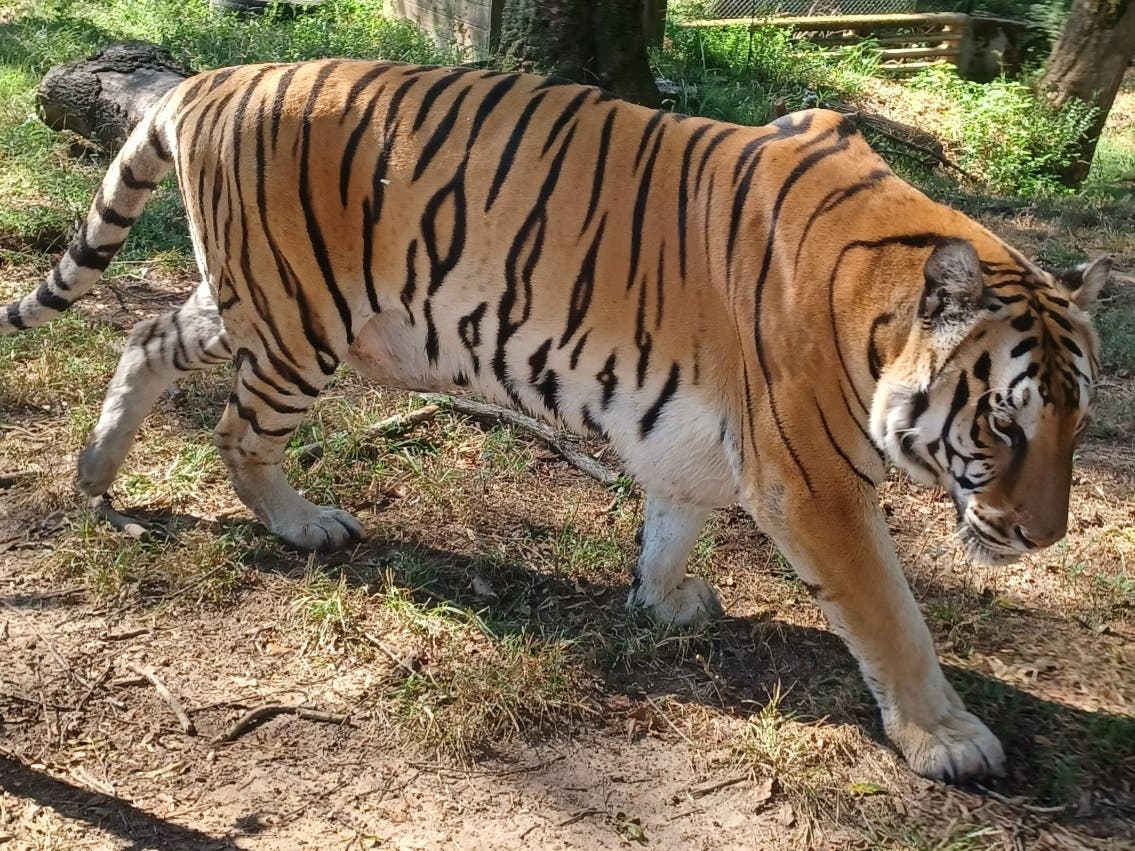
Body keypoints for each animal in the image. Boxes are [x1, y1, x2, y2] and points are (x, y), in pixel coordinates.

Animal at [0, 59, 1108, 783]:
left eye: (1075, 421)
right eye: (1002, 423)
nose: (1044, 534)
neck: (872, 312)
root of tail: (212, 78)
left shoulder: (695, 436)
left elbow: (672, 519)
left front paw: (662, 599)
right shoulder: (816, 483)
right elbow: (892, 615)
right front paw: (947, 738)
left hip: (246, 300)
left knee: (146, 335)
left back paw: (95, 475)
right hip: (296, 319)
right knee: (236, 432)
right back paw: (302, 522)